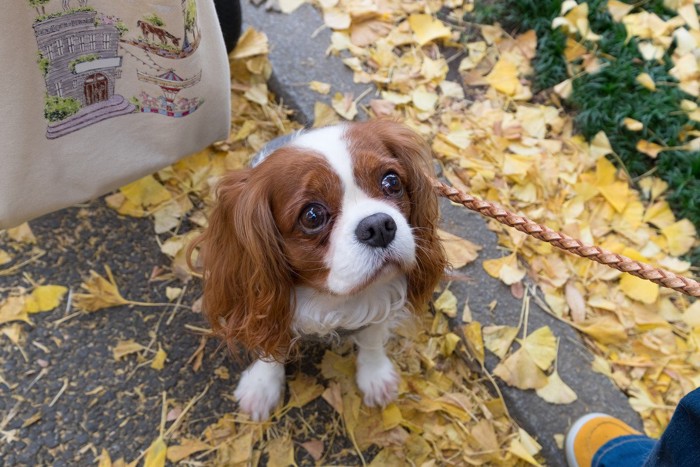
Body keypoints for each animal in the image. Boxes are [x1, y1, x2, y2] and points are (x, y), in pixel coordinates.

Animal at [189, 119, 446, 420]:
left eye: (391, 182)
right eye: (312, 216)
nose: (379, 226)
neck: (334, 298)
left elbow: (372, 339)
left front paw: (375, 375)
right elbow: (271, 347)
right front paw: (262, 386)